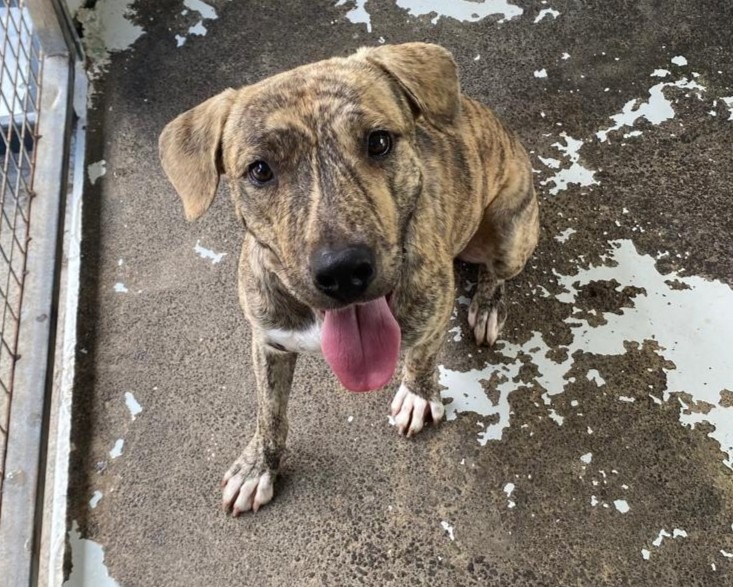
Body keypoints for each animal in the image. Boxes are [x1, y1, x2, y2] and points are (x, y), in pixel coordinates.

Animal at [159, 43, 539, 515]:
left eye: (378, 141)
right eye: (260, 170)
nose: (343, 272)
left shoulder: (433, 313)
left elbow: (422, 356)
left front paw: (418, 395)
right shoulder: (268, 341)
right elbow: (270, 412)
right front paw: (257, 466)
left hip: (510, 232)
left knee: (497, 271)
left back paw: (487, 305)